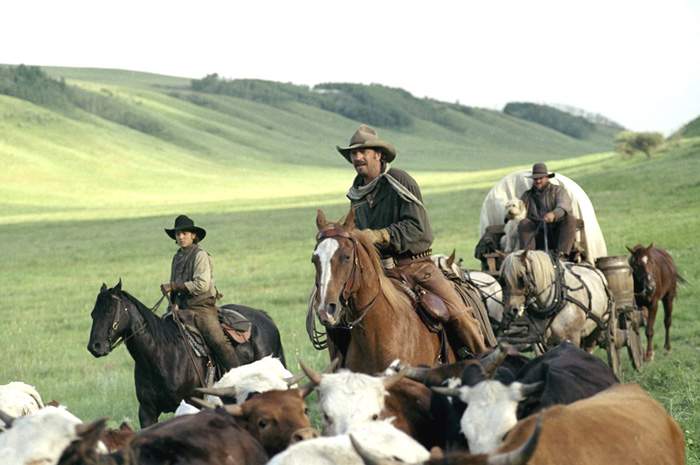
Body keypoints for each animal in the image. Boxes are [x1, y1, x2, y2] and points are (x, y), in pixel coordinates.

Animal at [87, 280, 284, 428]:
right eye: (93, 313)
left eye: (109, 310)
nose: (95, 346)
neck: (161, 356)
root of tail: (265, 317)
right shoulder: (147, 411)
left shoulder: (191, 405)